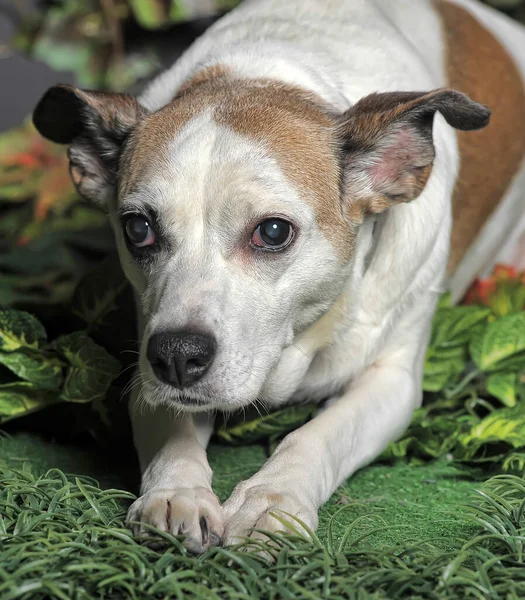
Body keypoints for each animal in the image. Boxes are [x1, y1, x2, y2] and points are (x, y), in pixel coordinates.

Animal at [32, 0, 524, 552]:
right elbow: (170, 426)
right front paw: (177, 491)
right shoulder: (146, 361)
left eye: (271, 231)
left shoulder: (393, 382)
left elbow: (320, 433)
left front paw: (274, 498)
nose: (177, 356)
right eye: (138, 228)